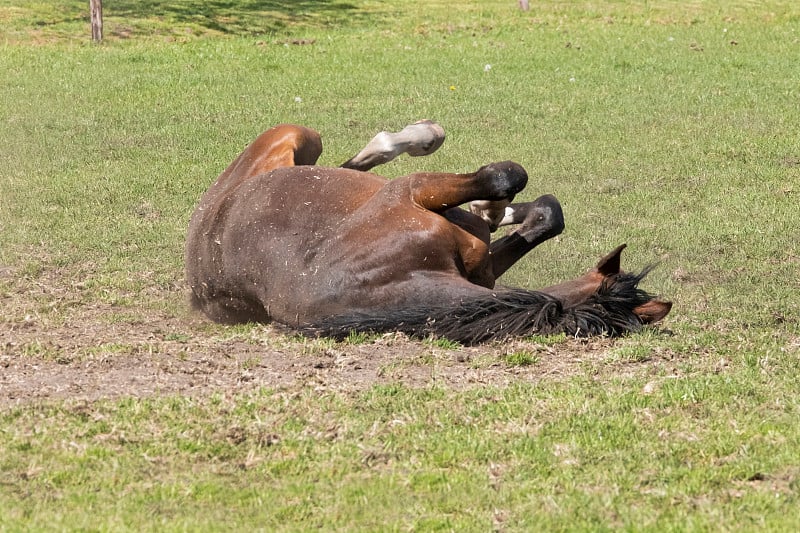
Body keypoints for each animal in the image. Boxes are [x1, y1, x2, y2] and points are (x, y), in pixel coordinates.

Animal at [186, 121, 668, 344]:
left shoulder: (481, 267)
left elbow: (543, 214)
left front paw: (495, 212)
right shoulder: (412, 188)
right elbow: (508, 178)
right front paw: (492, 206)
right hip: (298, 135)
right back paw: (419, 137)